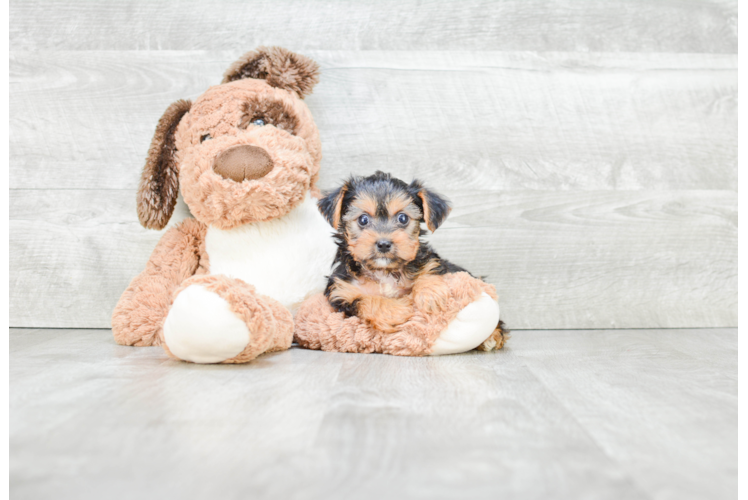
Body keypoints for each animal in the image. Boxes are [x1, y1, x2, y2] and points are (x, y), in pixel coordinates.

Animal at [318, 172, 506, 348]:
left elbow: (430, 267)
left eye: (403, 218)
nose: (384, 244)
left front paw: (430, 294)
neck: (384, 271)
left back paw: (493, 336)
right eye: (363, 219)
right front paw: (399, 310)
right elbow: (362, 301)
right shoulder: (341, 293)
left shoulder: (431, 261)